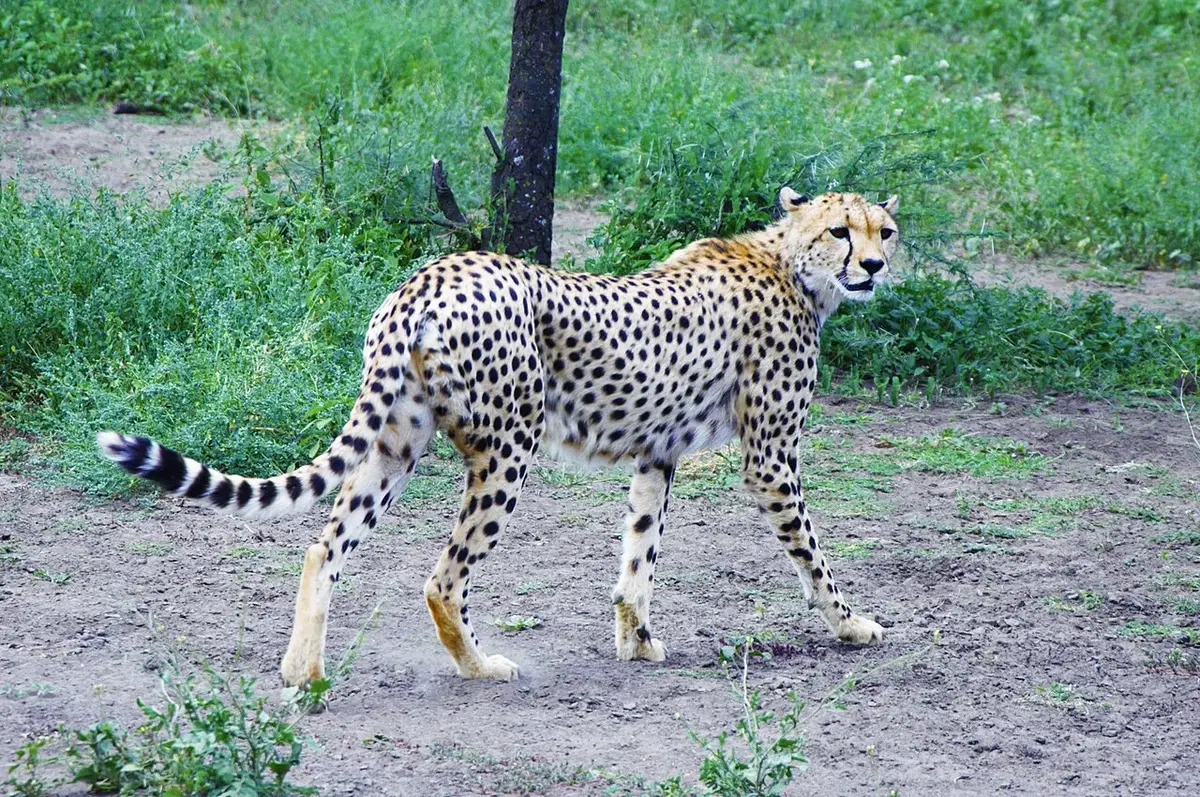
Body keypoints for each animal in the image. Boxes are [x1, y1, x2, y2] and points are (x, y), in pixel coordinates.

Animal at [98, 188, 899, 686]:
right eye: (840, 230)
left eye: (884, 230)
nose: (874, 265)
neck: (791, 265)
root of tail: (431, 273)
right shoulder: (770, 458)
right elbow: (811, 554)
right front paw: (852, 623)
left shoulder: (656, 453)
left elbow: (637, 559)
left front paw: (636, 642)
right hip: (510, 447)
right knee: (443, 578)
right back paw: (479, 667)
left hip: (396, 444)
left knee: (325, 546)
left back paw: (304, 672)